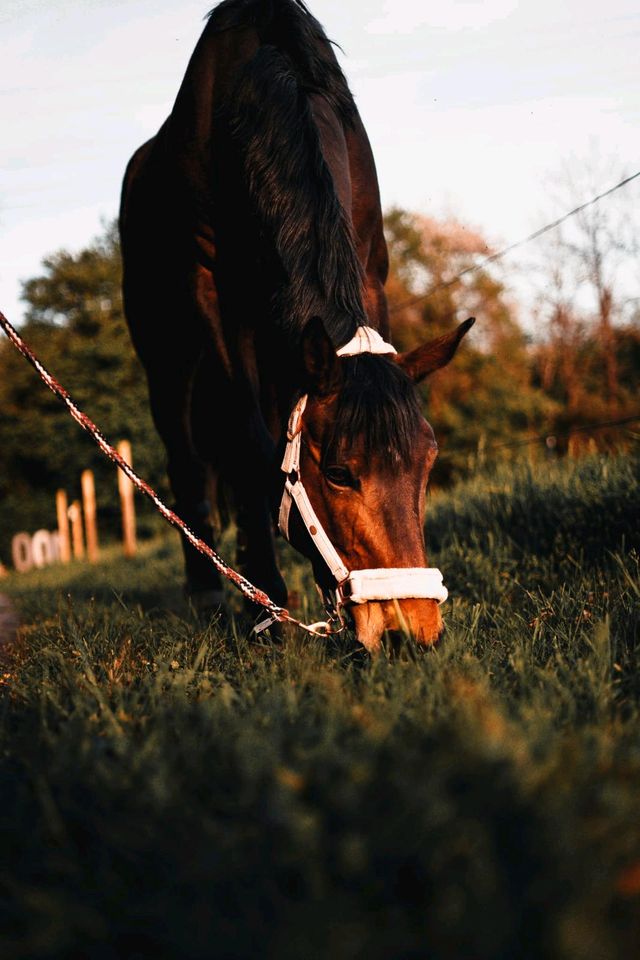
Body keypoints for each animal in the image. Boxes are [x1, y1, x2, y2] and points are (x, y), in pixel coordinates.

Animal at [120, 0, 472, 652]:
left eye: (429, 461)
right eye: (337, 472)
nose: (411, 629)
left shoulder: (370, 269)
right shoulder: (213, 291)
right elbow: (246, 441)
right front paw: (265, 600)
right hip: (166, 355)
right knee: (189, 455)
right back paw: (212, 588)